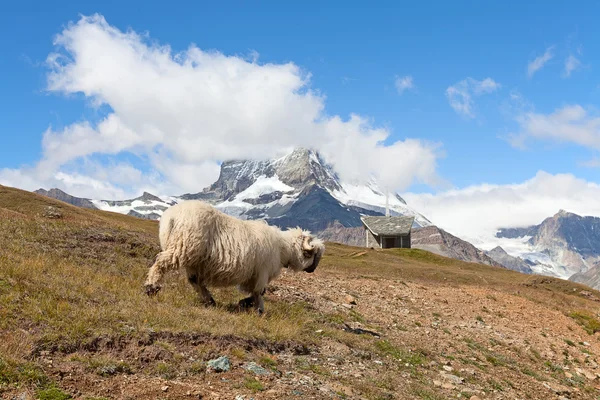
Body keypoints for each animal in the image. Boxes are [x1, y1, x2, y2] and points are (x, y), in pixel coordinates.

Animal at [144, 198, 324, 314]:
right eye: (312, 254)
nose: (312, 270)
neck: (283, 249)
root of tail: (171, 216)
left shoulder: (253, 275)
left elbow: (254, 292)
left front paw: (247, 304)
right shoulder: (262, 272)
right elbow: (259, 292)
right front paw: (256, 308)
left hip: (192, 258)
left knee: (194, 281)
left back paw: (209, 300)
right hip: (183, 247)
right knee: (160, 263)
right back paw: (151, 287)